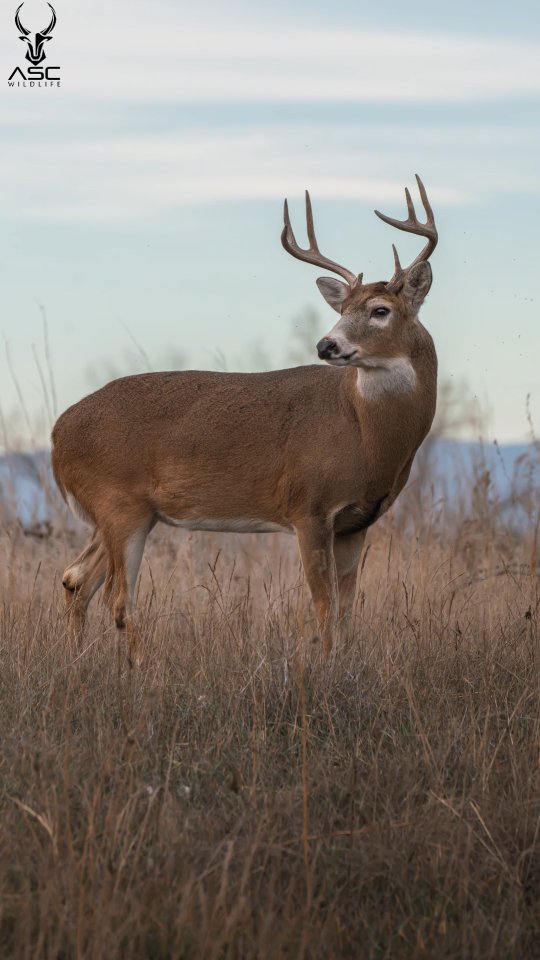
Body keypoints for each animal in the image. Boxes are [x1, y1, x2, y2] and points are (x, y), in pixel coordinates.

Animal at [52, 175, 438, 660]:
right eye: (342, 310)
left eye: (379, 310)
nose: (326, 345)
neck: (366, 435)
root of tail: (56, 435)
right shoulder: (308, 506)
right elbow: (325, 608)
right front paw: (326, 668)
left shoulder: (356, 522)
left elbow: (348, 612)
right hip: (118, 502)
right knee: (116, 599)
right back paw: (141, 666)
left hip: (127, 513)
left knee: (75, 579)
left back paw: (76, 663)